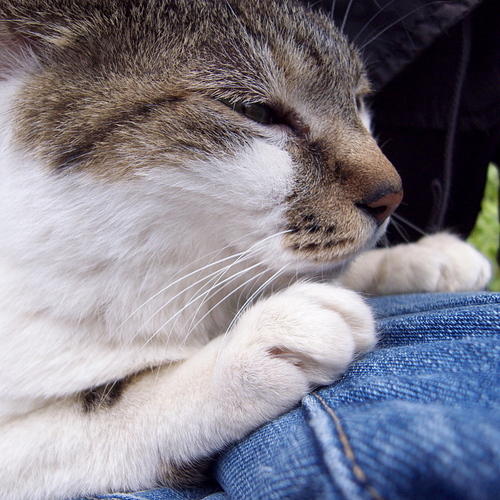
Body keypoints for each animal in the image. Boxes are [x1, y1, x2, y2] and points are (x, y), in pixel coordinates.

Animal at [0, 0, 492, 500]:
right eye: (257, 110)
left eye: (357, 100)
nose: (392, 194)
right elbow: (89, 413)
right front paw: (244, 353)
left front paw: (422, 258)